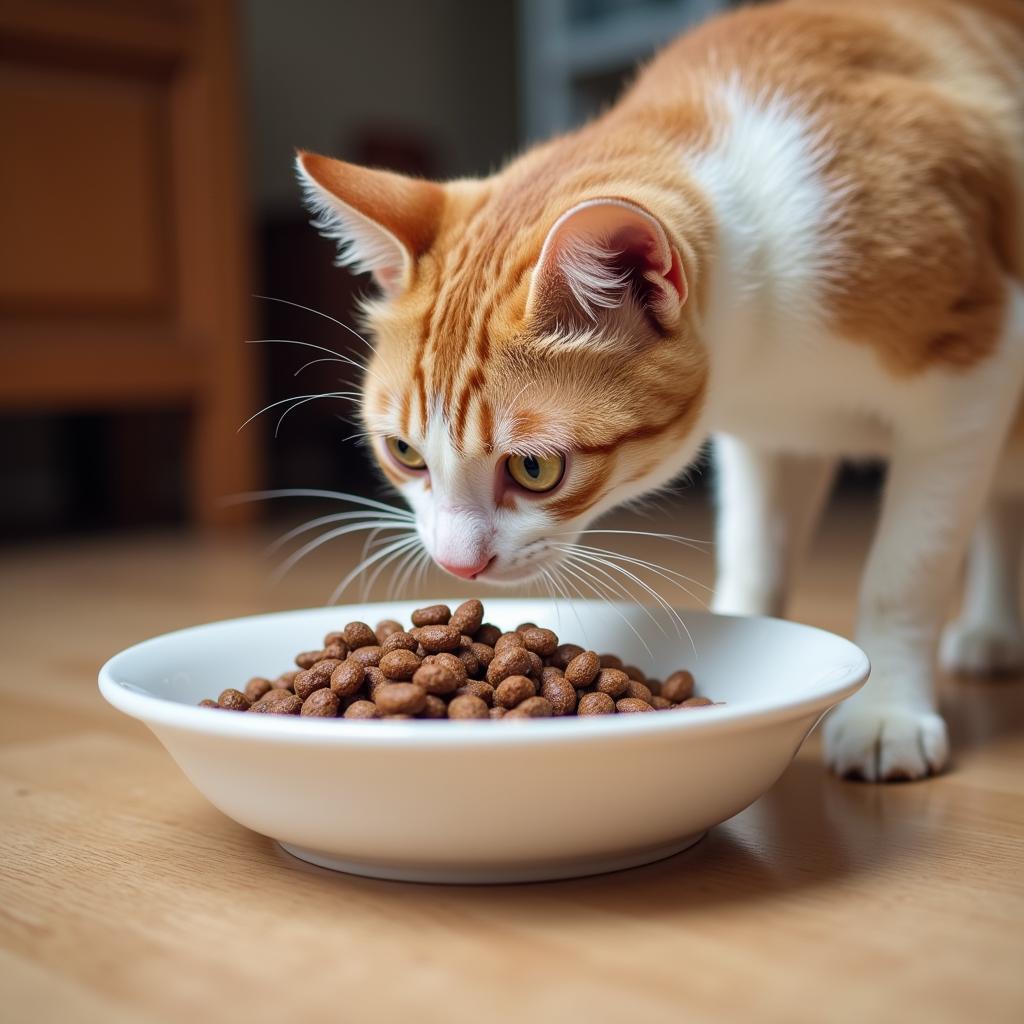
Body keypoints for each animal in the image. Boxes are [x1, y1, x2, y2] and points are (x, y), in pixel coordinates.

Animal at [292, 0, 1019, 778]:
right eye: (404, 453)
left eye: (535, 468)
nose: (459, 565)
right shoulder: (768, 436)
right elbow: (755, 548)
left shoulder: (974, 373)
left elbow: (906, 571)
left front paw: (887, 713)